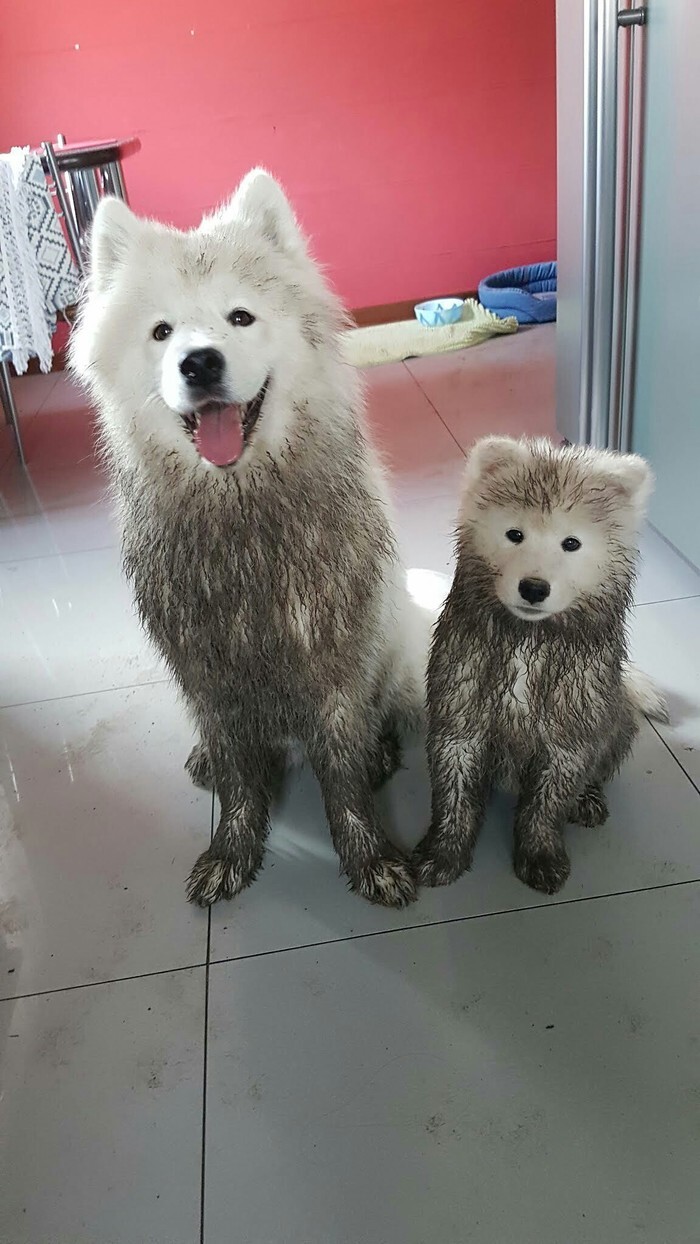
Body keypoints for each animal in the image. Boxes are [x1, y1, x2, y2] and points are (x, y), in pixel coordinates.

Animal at [73, 167, 430, 905]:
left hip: (392, 647)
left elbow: (343, 774)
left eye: (240, 318)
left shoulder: (332, 664)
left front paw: (369, 857)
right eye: (161, 332)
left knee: (382, 710)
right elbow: (240, 779)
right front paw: (233, 848)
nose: (199, 363)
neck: (240, 512)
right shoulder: (207, 672)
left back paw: (383, 748)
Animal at [415, 435, 666, 895]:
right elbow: (452, 797)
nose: (533, 588)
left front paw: (540, 856)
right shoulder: (459, 715)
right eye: (515, 534)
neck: (528, 643)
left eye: (572, 543)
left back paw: (588, 798)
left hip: (618, 719)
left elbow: (546, 807)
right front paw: (442, 854)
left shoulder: (570, 734)